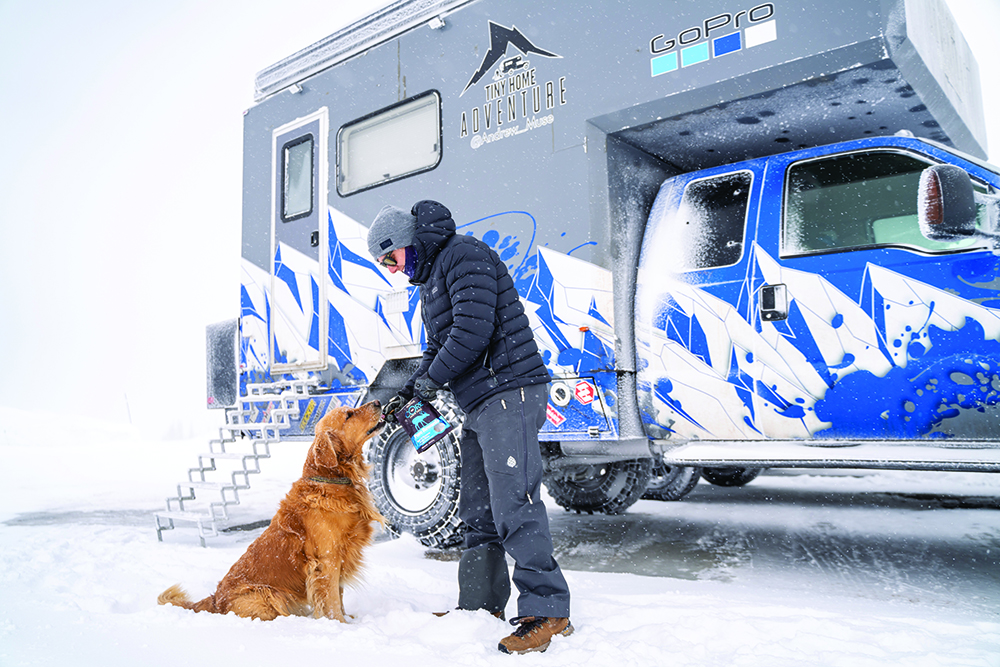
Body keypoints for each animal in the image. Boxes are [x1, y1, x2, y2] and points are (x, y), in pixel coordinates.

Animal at [158, 402, 384, 628]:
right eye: (349, 415)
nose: (378, 403)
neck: (331, 481)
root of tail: (215, 600)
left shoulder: (340, 557)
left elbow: (339, 595)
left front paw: (348, 620)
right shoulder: (327, 560)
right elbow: (332, 600)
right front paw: (339, 624)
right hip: (268, 594)